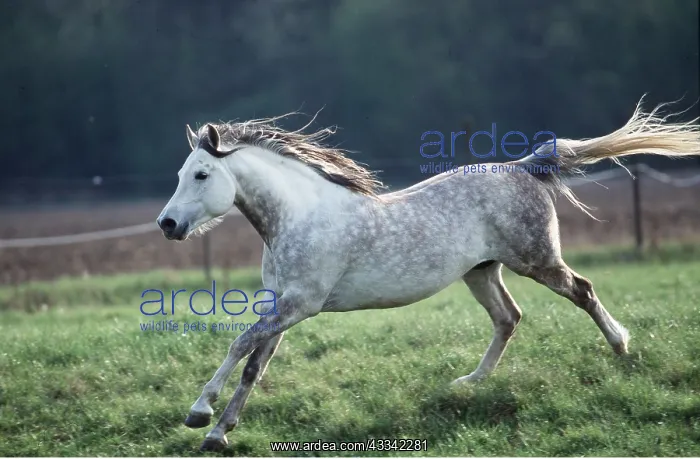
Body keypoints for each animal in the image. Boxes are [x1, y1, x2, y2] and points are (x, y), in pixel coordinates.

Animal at [157, 99, 700, 451]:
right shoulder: (283, 305)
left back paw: (621, 346)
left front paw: (199, 414)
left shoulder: (300, 303)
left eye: (201, 174)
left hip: (536, 260)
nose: (167, 225)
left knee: (581, 291)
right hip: (481, 272)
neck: (300, 216)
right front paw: (218, 433)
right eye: (181, 173)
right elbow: (254, 363)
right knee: (508, 317)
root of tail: (522, 166)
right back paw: (469, 382)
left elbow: (240, 345)